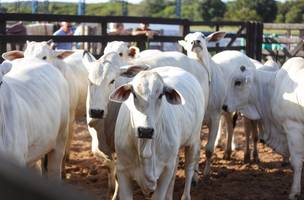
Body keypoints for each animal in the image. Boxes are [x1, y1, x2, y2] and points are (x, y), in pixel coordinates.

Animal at [109, 66, 204, 199]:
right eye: (134, 94)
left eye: (161, 95)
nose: (145, 131)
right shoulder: (122, 168)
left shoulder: (166, 170)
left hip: (193, 141)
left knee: (189, 169)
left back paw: (186, 195)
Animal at [222, 56, 304, 200]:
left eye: (238, 82)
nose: (224, 106)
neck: (272, 88)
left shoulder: (294, 127)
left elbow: (297, 162)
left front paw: (294, 192)